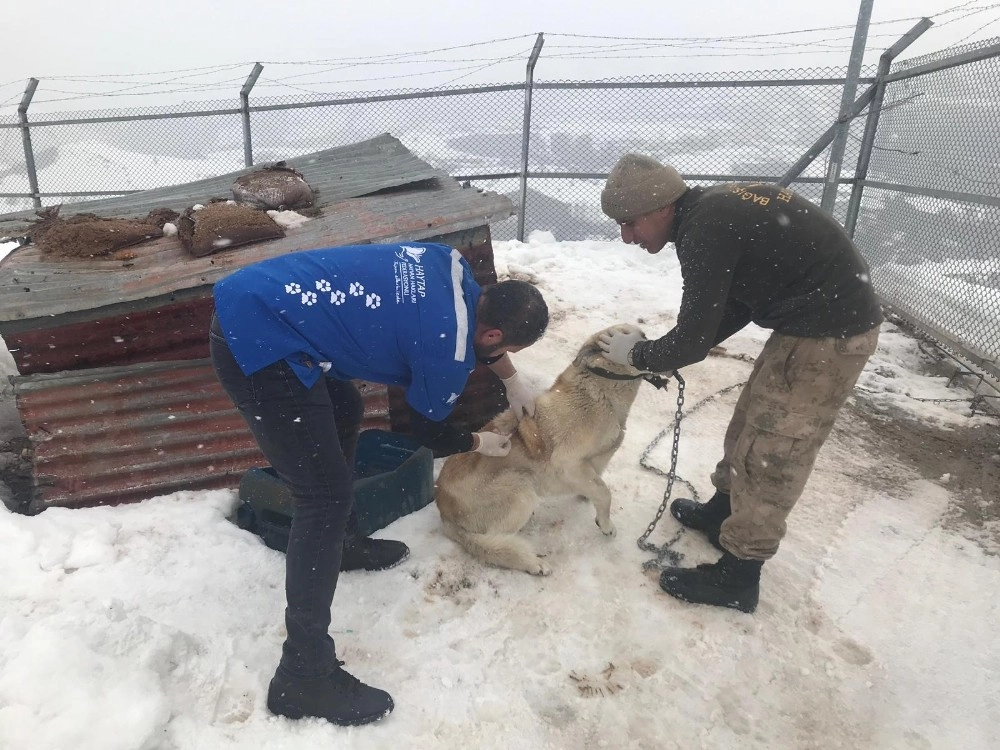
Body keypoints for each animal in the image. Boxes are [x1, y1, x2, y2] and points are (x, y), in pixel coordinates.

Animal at [438, 324, 648, 576]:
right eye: (635, 340)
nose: (649, 342)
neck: (600, 392)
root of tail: (442, 510)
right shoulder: (568, 463)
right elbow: (604, 492)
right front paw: (606, 524)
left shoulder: (594, 464)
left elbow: (597, 484)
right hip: (521, 487)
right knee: (494, 543)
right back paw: (531, 562)